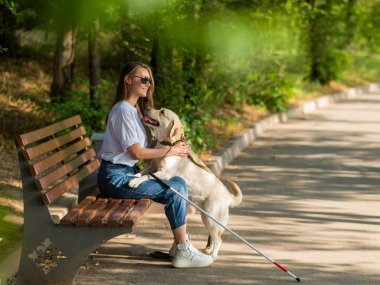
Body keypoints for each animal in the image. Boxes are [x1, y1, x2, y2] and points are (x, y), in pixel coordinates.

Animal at [129, 107, 242, 258]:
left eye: (162, 112)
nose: (146, 108)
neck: (168, 145)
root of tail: (227, 194)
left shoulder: (164, 173)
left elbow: (146, 176)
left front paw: (135, 182)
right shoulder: (152, 167)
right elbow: (142, 172)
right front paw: (132, 175)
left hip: (212, 217)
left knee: (218, 239)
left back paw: (212, 256)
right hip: (206, 217)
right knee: (212, 238)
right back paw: (208, 251)